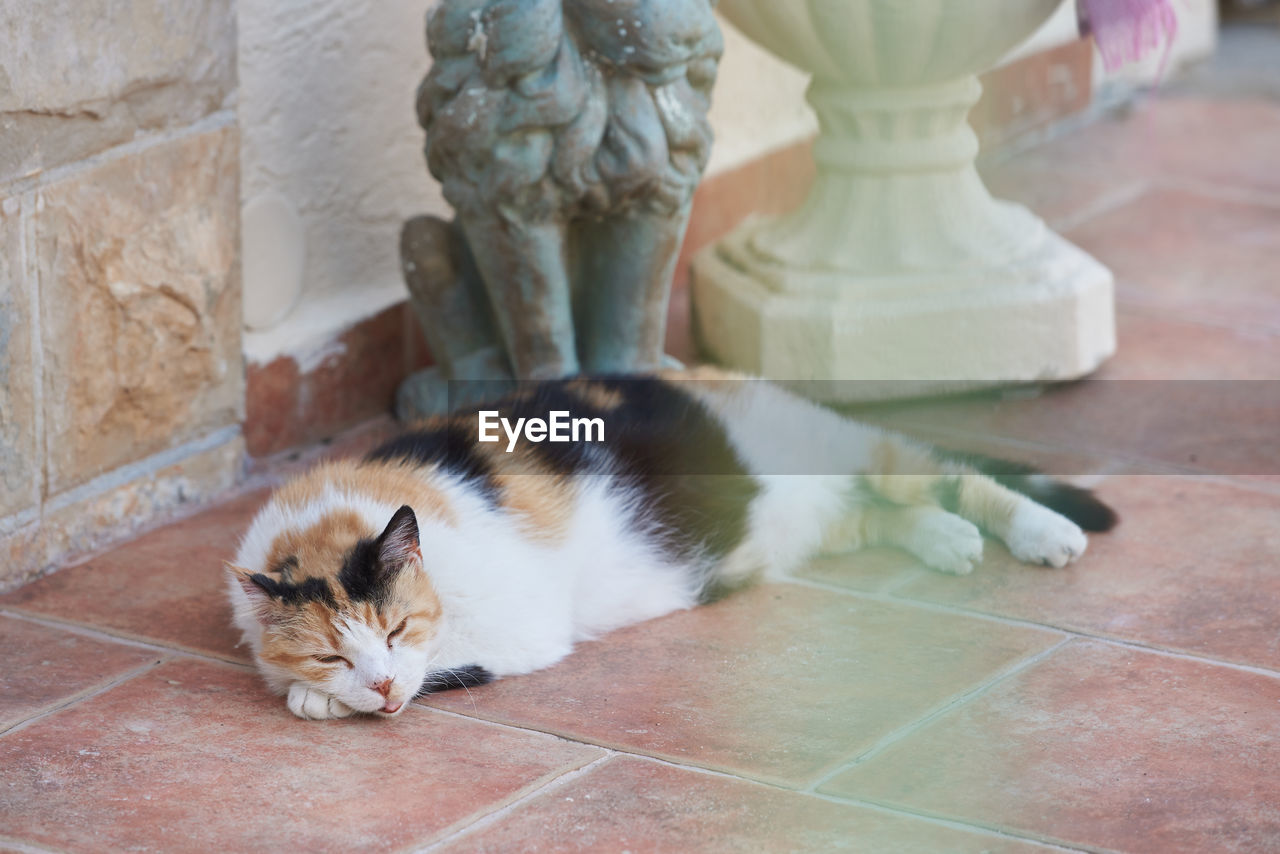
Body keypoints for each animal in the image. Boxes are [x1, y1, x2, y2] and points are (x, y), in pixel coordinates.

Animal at [227, 368, 1111, 722]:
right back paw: (946, 540)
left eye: (399, 627)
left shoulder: (523, 627)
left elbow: (442, 666)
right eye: (330, 652)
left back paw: (1046, 531)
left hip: (858, 449)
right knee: (883, 514)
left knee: (951, 476)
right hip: (825, 512)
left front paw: (321, 702)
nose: (372, 685)